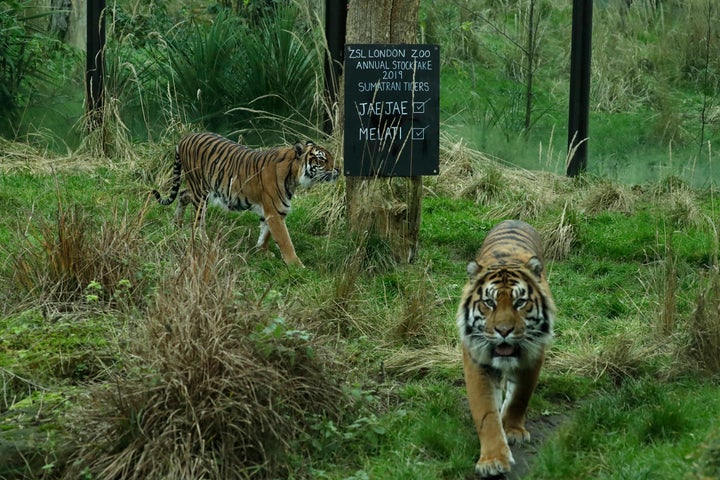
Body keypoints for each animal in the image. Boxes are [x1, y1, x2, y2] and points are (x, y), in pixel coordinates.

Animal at [150, 131, 340, 266]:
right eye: (322, 159)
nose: (338, 170)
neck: (293, 176)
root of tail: (185, 138)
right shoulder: (275, 212)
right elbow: (285, 242)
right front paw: (297, 266)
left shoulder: (272, 211)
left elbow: (265, 234)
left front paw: (262, 252)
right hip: (200, 190)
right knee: (198, 221)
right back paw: (202, 241)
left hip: (199, 190)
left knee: (183, 194)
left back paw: (176, 223)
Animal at [456, 219, 556, 478]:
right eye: (489, 302)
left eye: (520, 302)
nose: (503, 331)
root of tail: (514, 219)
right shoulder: (476, 360)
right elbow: (486, 413)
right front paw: (493, 461)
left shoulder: (534, 353)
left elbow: (520, 395)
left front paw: (512, 430)